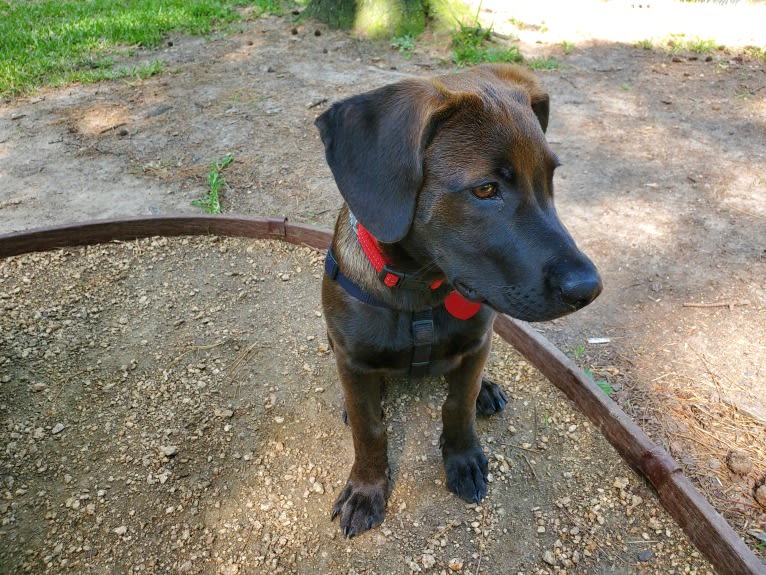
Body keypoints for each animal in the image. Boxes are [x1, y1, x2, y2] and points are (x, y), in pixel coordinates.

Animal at [316, 65, 604, 536]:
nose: (589, 289)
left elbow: (458, 405)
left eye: (550, 180)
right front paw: (366, 487)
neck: (420, 292)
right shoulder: (353, 359)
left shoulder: (476, 343)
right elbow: (369, 428)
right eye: (485, 189)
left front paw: (463, 459)